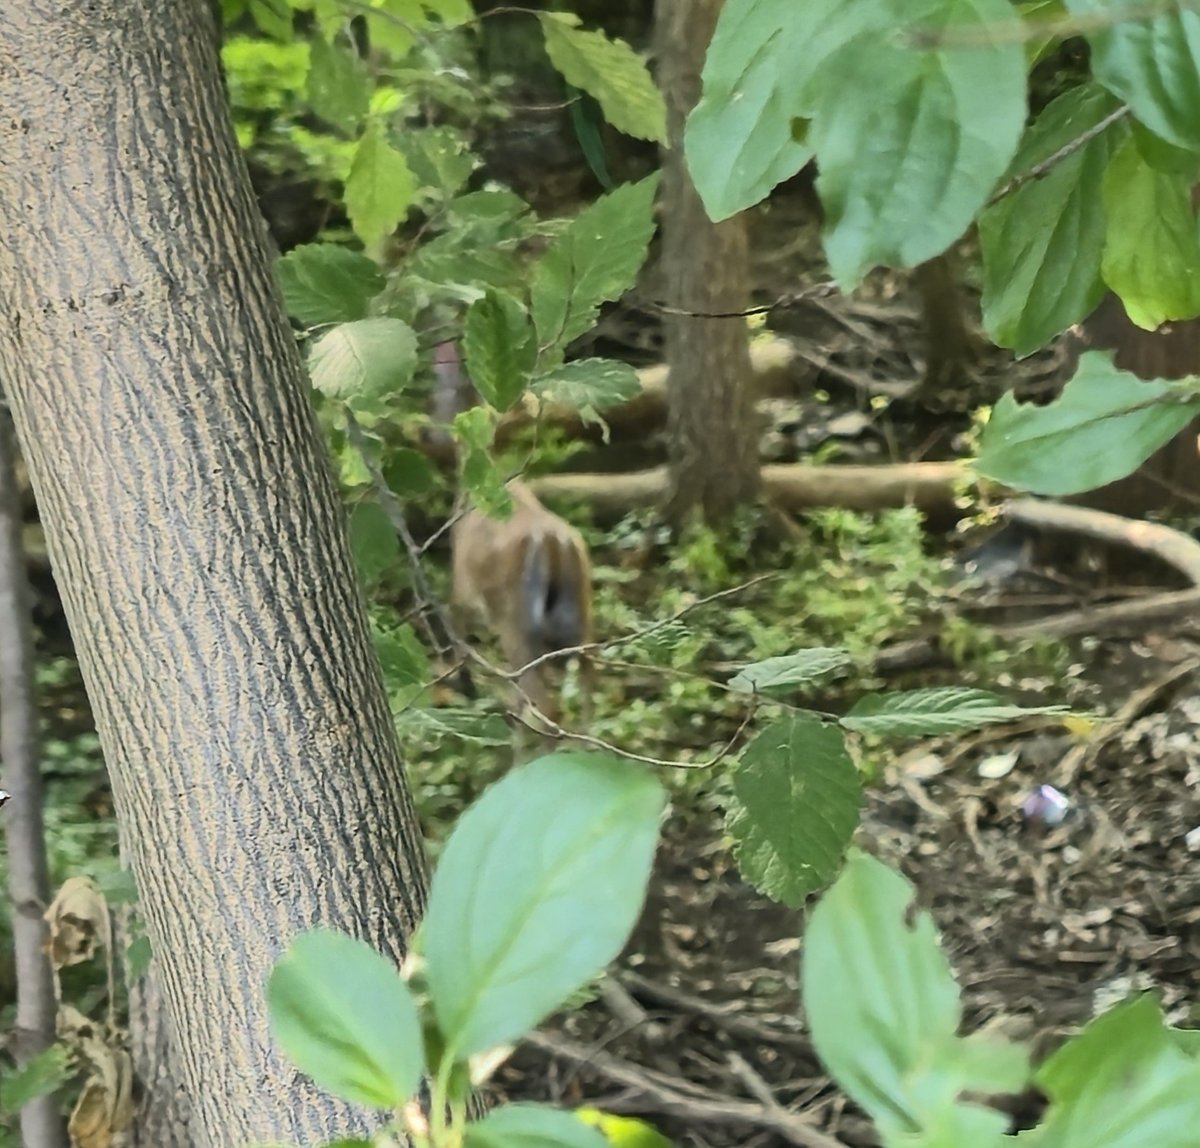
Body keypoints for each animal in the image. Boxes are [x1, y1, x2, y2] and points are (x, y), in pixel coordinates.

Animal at [431, 341, 595, 729]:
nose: (435, 434)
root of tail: (555, 546)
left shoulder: (462, 588)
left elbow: (458, 636)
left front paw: (466, 689)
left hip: (516, 620)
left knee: (541, 703)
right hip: (579, 620)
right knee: (587, 695)